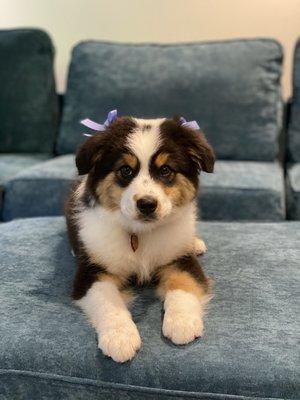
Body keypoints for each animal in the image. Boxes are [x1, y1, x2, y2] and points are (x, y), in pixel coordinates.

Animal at [66, 115, 216, 362]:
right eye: (125, 170)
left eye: (165, 170)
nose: (147, 204)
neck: (140, 233)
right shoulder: (91, 271)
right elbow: (108, 302)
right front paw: (120, 338)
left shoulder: (181, 259)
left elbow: (183, 285)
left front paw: (182, 323)